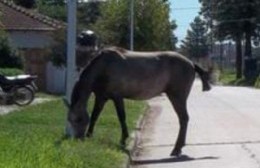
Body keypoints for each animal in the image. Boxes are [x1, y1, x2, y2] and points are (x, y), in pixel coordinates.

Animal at [63, 46, 211, 156]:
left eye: (79, 119)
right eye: (69, 119)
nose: (78, 139)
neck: (104, 66)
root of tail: (191, 63)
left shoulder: (117, 97)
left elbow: (121, 117)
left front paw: (123, 139)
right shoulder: (101, 98)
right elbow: (94, 116)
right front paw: (90, 135)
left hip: (177, 97)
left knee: (184, 118)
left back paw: (176, 148)